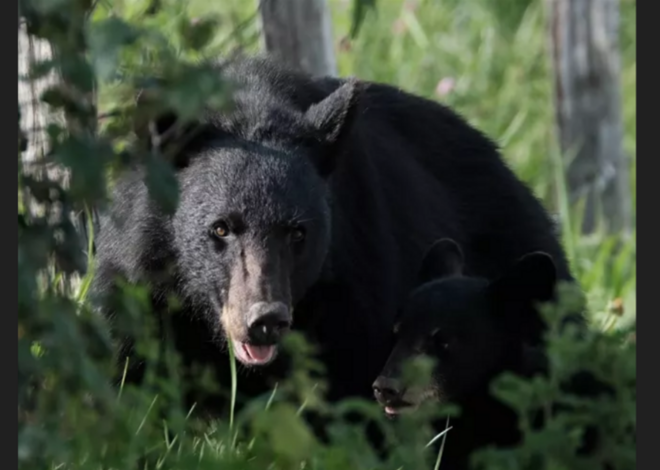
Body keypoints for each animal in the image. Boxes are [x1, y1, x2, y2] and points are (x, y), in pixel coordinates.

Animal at [90, 55, 575, 421]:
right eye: (221, 228)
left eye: (298, 232)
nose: (264, 320)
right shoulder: (139, 280)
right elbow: (131, 376)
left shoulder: (357, 287)